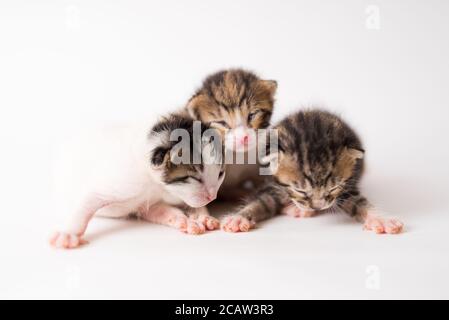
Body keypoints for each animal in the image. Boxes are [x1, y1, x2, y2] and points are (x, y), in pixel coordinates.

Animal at [50, 114, 224, 249]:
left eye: (220, 174)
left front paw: (197, 218)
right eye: (195, 178)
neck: (155, 185)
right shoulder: (123, 183)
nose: (213, 197)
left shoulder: (150, 203)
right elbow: (87, 201)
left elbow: (163, 211)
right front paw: (67, 234)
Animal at [222, 109, 404, 234]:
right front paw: (239, 217)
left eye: (333, 188)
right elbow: (261, 201)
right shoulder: (272, 184)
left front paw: (380, 219)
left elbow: (358, 202)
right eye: (300, 190)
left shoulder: (345, 187)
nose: (318, 206)